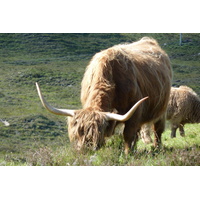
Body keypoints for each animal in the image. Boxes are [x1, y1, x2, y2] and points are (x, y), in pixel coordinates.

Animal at [35, 37, 172, 153]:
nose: (85, 151)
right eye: (77, 134)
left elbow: (128, 134)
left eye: (97, 135)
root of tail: (148, 40)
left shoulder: (135, 112)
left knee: (158, 129)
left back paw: (157, 149)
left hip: (162, 107)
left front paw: (127, 154)